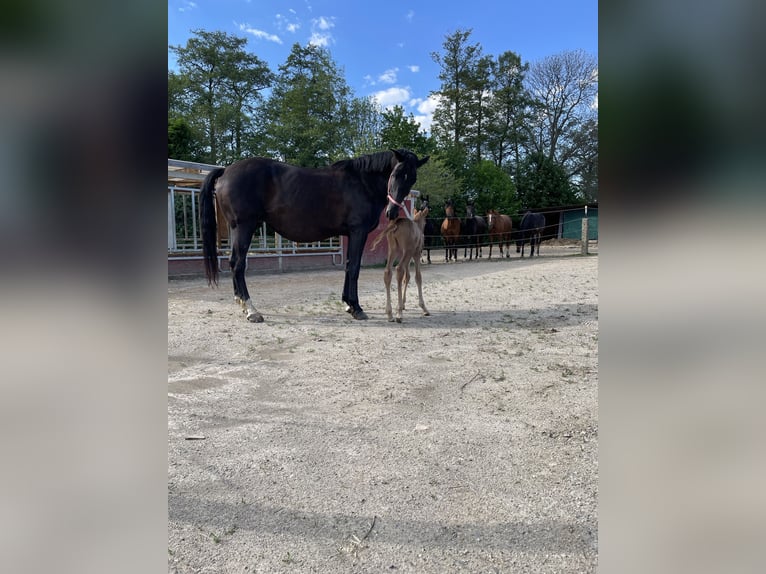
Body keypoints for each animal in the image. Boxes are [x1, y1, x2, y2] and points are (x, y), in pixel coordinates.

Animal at [201, 148, 428, 324]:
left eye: (413, 178)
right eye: (395, 174)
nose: (392, 212)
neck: (362, 182)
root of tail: (226, 171)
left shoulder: (351, 235)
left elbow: (348, 266)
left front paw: (348, 304)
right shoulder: (358, 232)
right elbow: (354, 267)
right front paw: (356, 308)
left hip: (237, 229)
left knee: (233, 263)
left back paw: (241, 302)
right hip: (244, 227)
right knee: (238, 264)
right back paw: (251, 310)